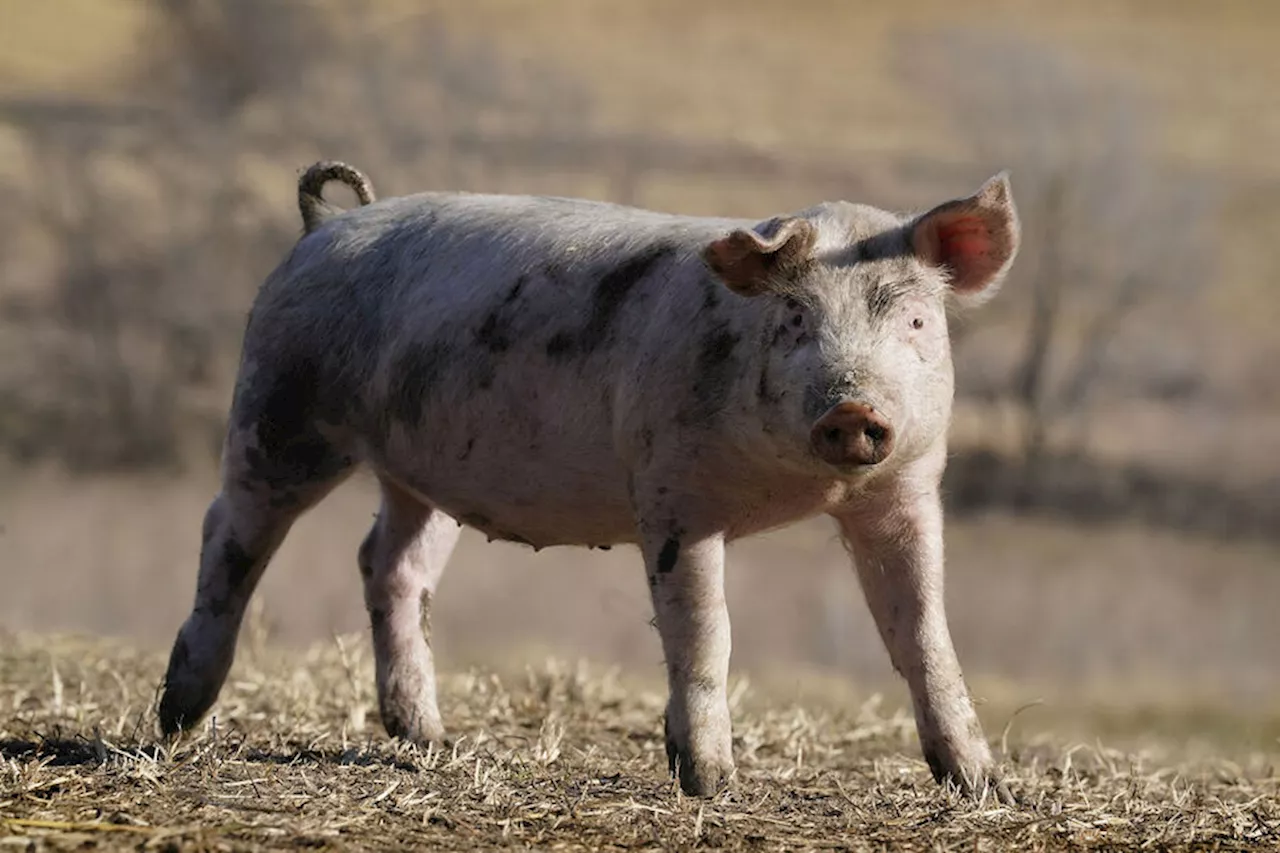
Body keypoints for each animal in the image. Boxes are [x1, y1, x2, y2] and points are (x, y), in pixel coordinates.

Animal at [160, 157, 1018, 799]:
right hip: (280, 409)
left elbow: (923, 632)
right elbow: (705, 632)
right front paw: (712, 784)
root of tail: (326, 227)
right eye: (796, 319)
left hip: (421, 470)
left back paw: (429, 738)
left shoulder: (907, 493)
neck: (804, 487)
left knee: (389, 562)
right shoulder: (673, 496)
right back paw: (176, 718)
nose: (852, 409)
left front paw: (983, 786)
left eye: (913, 321)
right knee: (227, 533)